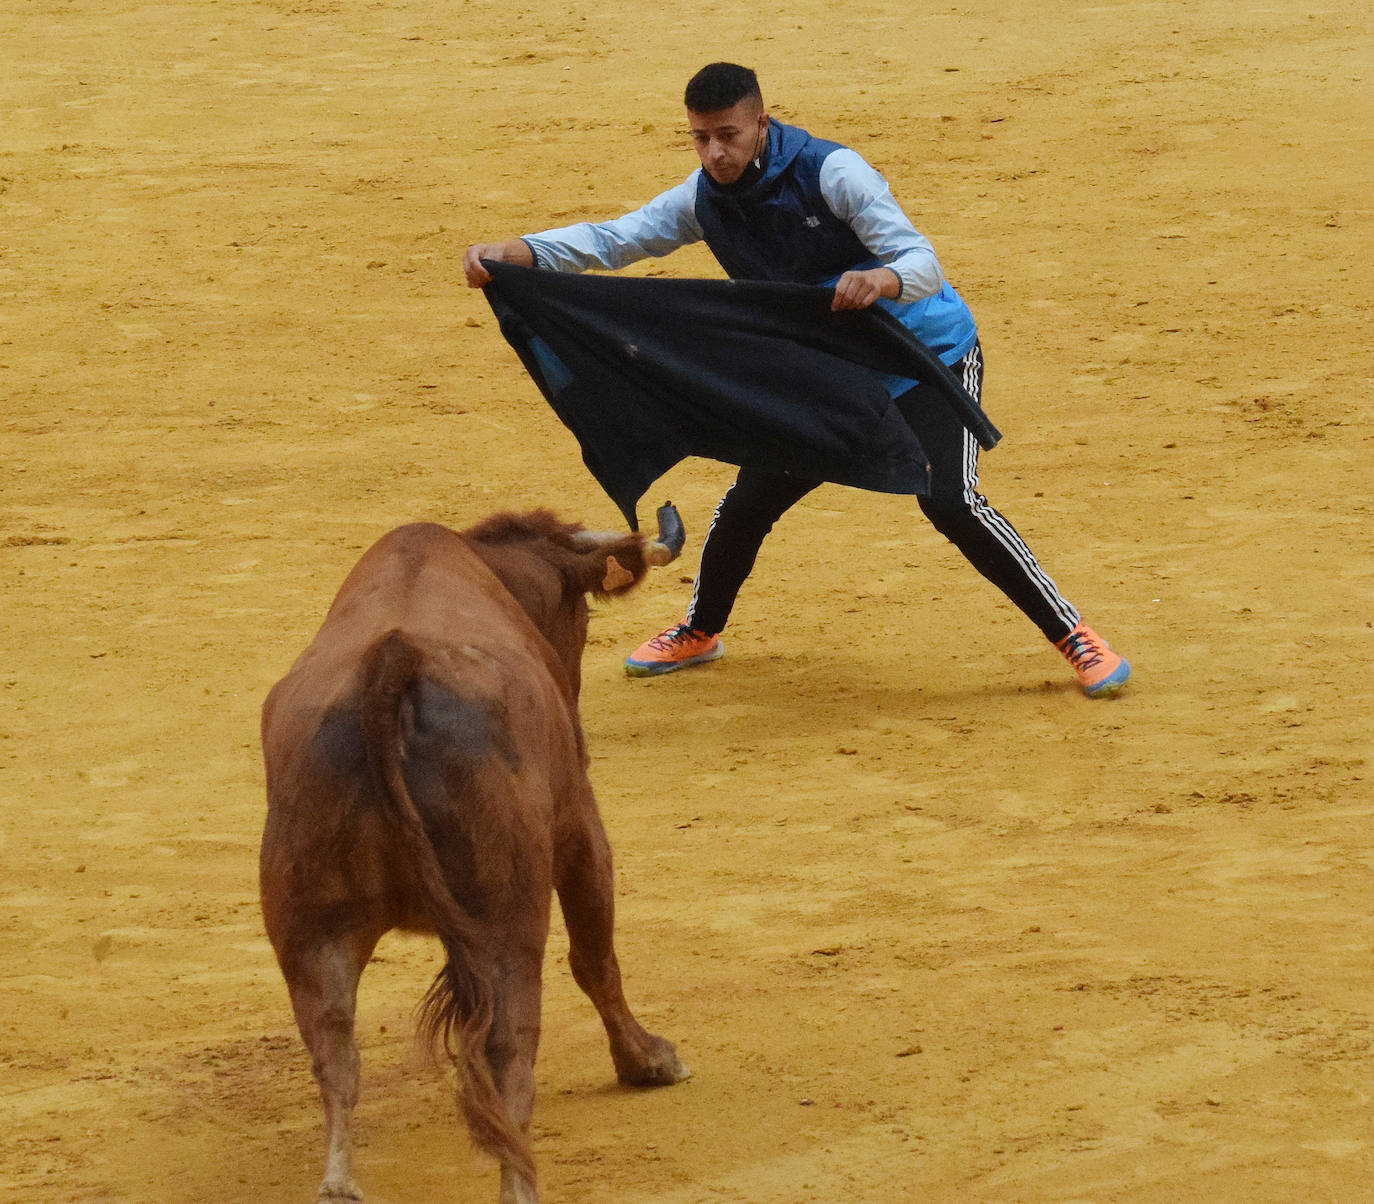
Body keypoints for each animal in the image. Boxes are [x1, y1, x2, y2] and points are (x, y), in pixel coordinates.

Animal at [259, 508, 687, 1204]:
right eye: (580, 614)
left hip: (310, 928)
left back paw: (339, 1183)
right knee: (510, 1045)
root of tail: (391, 665)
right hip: (505, 922)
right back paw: (519, 1181)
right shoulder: (579, 824)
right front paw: (648, 1061)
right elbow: (596, 958)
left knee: (334, 1048)